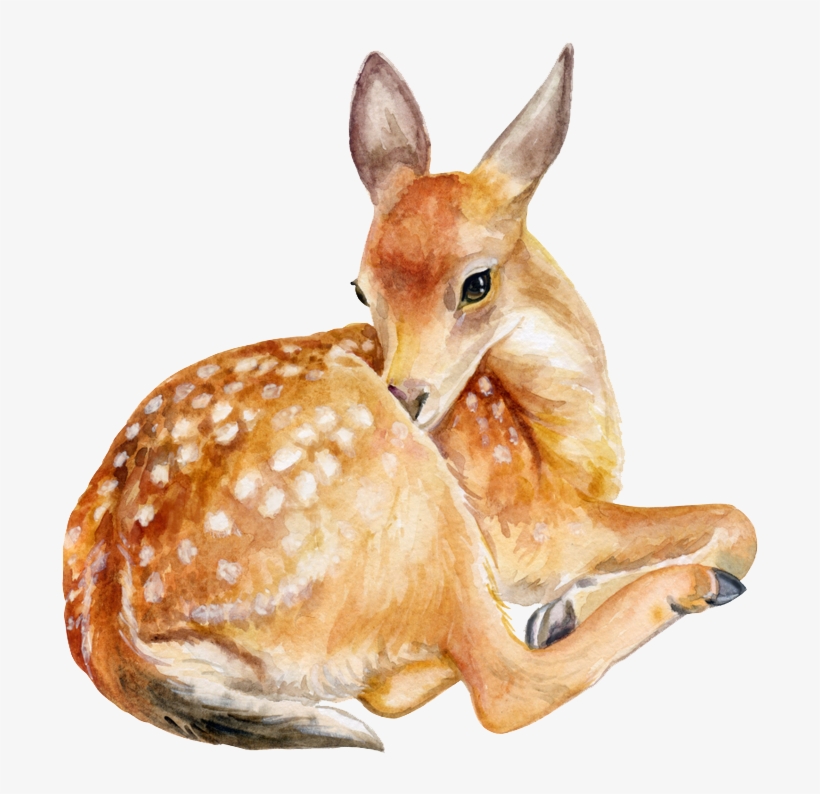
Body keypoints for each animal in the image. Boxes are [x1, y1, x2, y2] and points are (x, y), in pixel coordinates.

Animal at [63, 45, 756, 751]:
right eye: (361, 289)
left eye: (477, 282)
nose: (406, 394)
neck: (551, 433)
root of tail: (105, 628)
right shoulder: (541, 527)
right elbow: (736, 520)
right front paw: (589, 601)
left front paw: (561, 609)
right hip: (414, 507)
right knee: (502, 687)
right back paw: (691, 590)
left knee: (397, 688)